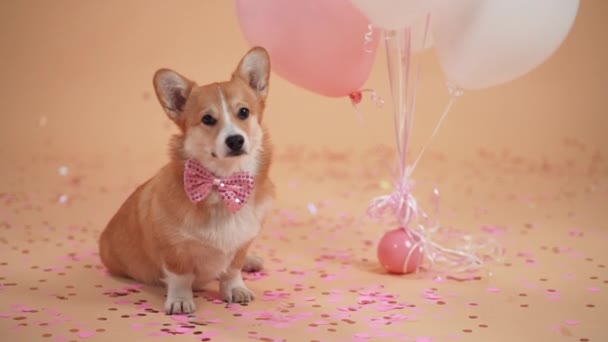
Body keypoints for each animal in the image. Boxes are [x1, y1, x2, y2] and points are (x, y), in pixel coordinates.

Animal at [98, 46, 274, 314]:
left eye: (243, 112)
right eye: (208, 119)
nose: (235, 140)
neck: (222, 184)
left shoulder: (241, 243)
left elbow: (232, 269)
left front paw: (235, 288)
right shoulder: (174, 249)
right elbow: (181, 276)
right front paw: (180, 300)